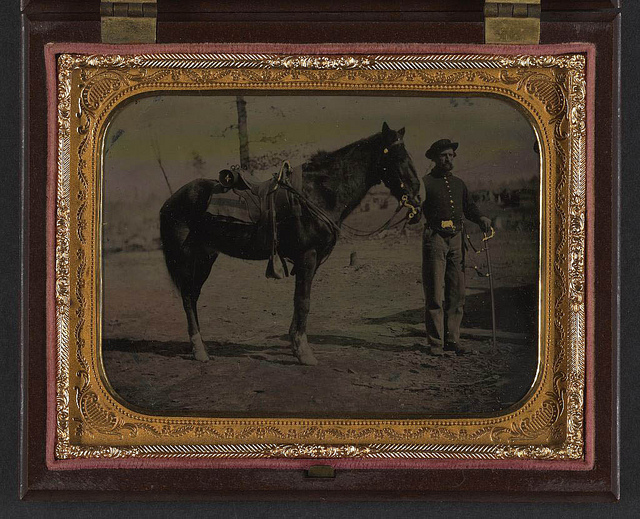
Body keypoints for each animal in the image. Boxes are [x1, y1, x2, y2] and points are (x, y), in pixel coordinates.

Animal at [159, 123, 420, 366]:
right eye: (396, 156)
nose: (417, 195)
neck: (319, 194)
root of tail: (170, 201)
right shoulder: (307, 257)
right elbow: (303, 302)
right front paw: (304, 354)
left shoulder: (310, 262)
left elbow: (299, 302)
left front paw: (296, 346)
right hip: (190, 259)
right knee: (188, 298)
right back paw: (199, 351)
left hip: (206, 257)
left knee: (192, 296)